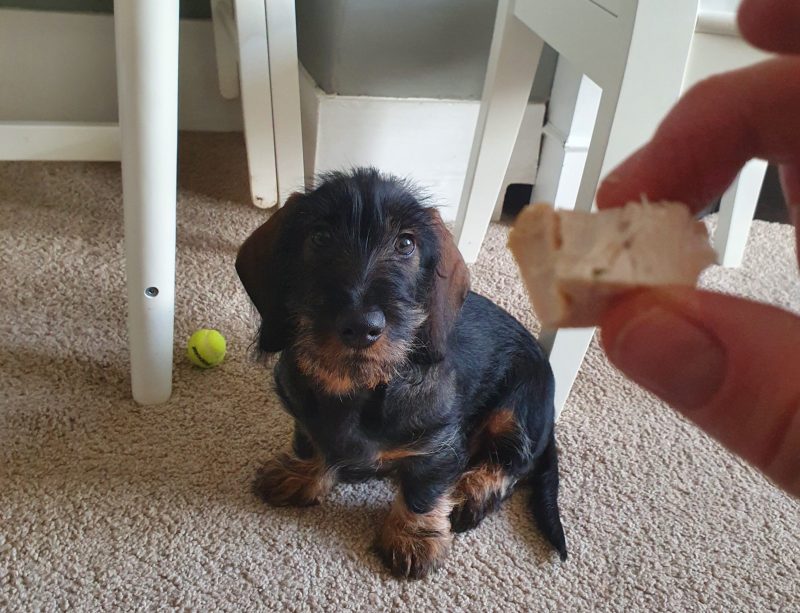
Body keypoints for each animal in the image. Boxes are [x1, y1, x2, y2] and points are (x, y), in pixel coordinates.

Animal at [238, 167, 568, 580]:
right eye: (319, 237)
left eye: (406, 244)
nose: (362, 326)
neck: (361, 388)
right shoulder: (303, 413)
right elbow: (311, 441)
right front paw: (301, 473)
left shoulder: (437, 443)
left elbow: (424, 487)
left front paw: (413, 536)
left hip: (517, 407)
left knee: (512, 463)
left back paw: (469, 491)